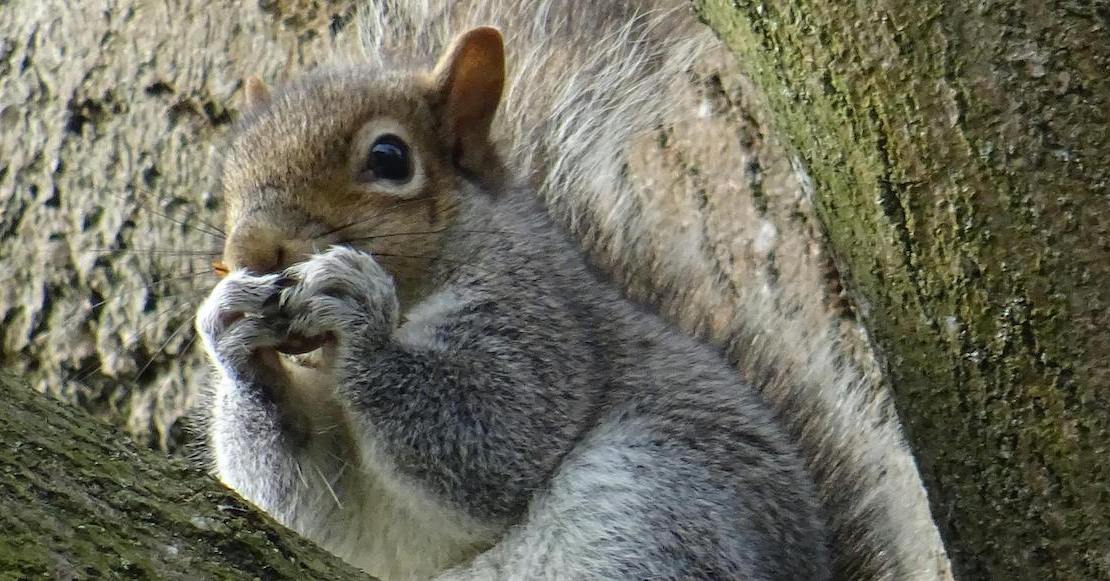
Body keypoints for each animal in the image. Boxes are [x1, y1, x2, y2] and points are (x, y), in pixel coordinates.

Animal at [199, 1, 936, 581]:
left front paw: (360, 318)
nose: (250, 251)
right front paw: (232, 333)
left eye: (389, 158)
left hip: (652, 513)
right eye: (230, 174)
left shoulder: (542, 323)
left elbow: (494, 441)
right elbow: (303, 494)